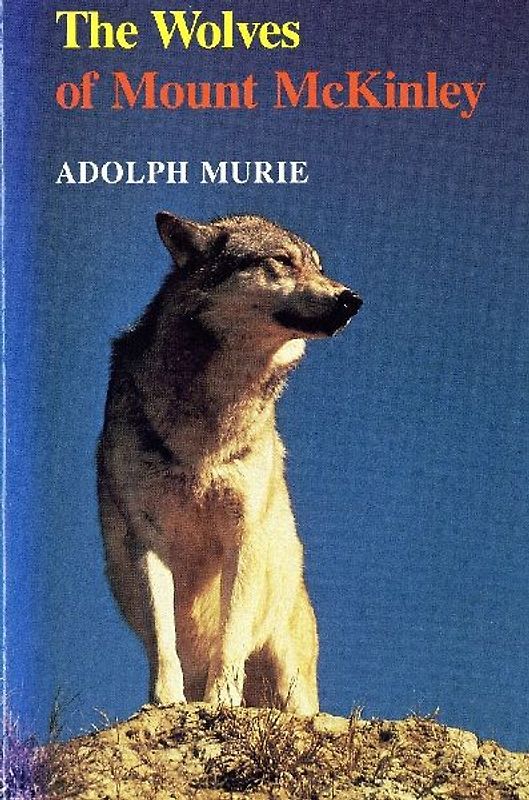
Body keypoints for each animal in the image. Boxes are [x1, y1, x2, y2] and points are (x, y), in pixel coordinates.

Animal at [97, 212, 362, 715]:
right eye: (282, 261)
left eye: (318, 267)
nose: (351, 299)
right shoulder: (147, 539)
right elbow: (164, 638)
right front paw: (166, 702)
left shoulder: (244, 534)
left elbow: (230, 637)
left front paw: (221, 701)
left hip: (293, 678)